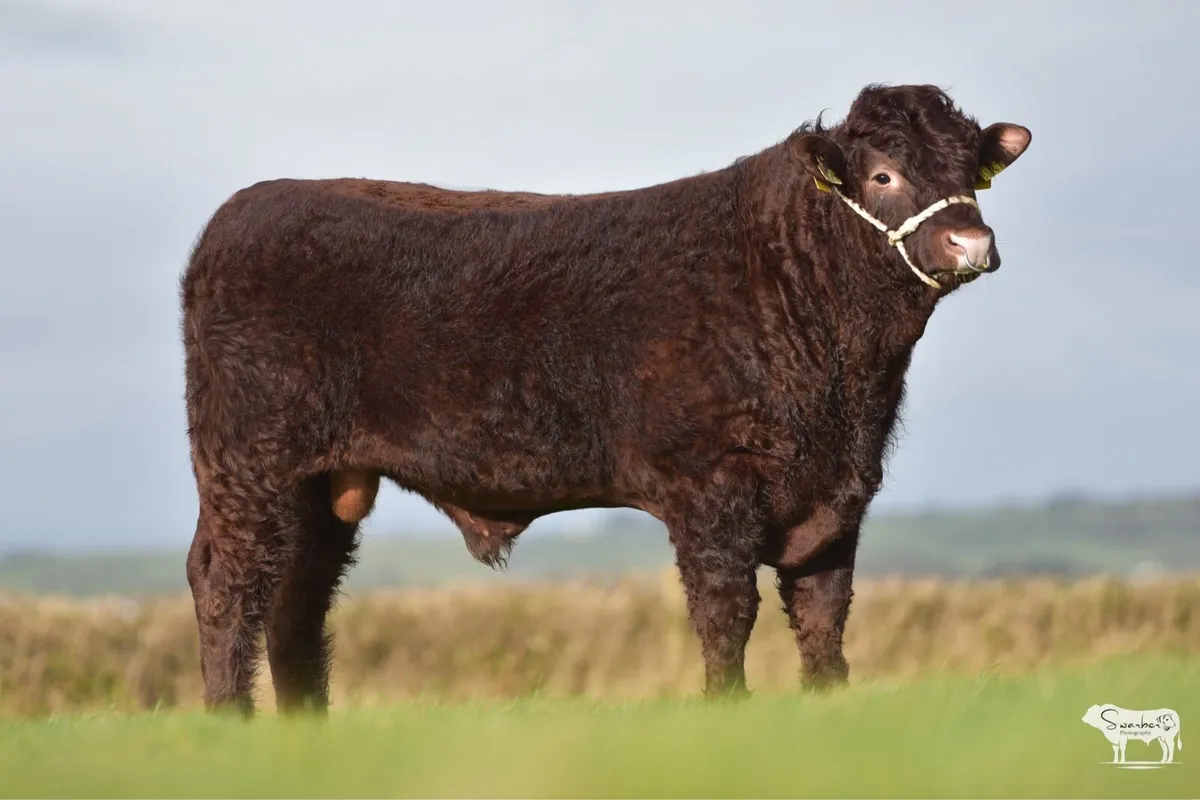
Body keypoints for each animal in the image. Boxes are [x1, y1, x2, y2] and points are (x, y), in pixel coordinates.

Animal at [179, 83, 1032, 715]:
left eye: (969, 171)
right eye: (883, 175)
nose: (971, 242)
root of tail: (240, 213)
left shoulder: (837, 495)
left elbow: (824, 615)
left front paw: (827, 706)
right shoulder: (711, 486)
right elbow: (726, 611)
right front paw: (727, 709)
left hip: (319, 485)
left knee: (295, 598)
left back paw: (305, 728)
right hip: (248, 463)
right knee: (228, 584)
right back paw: (230, 721)